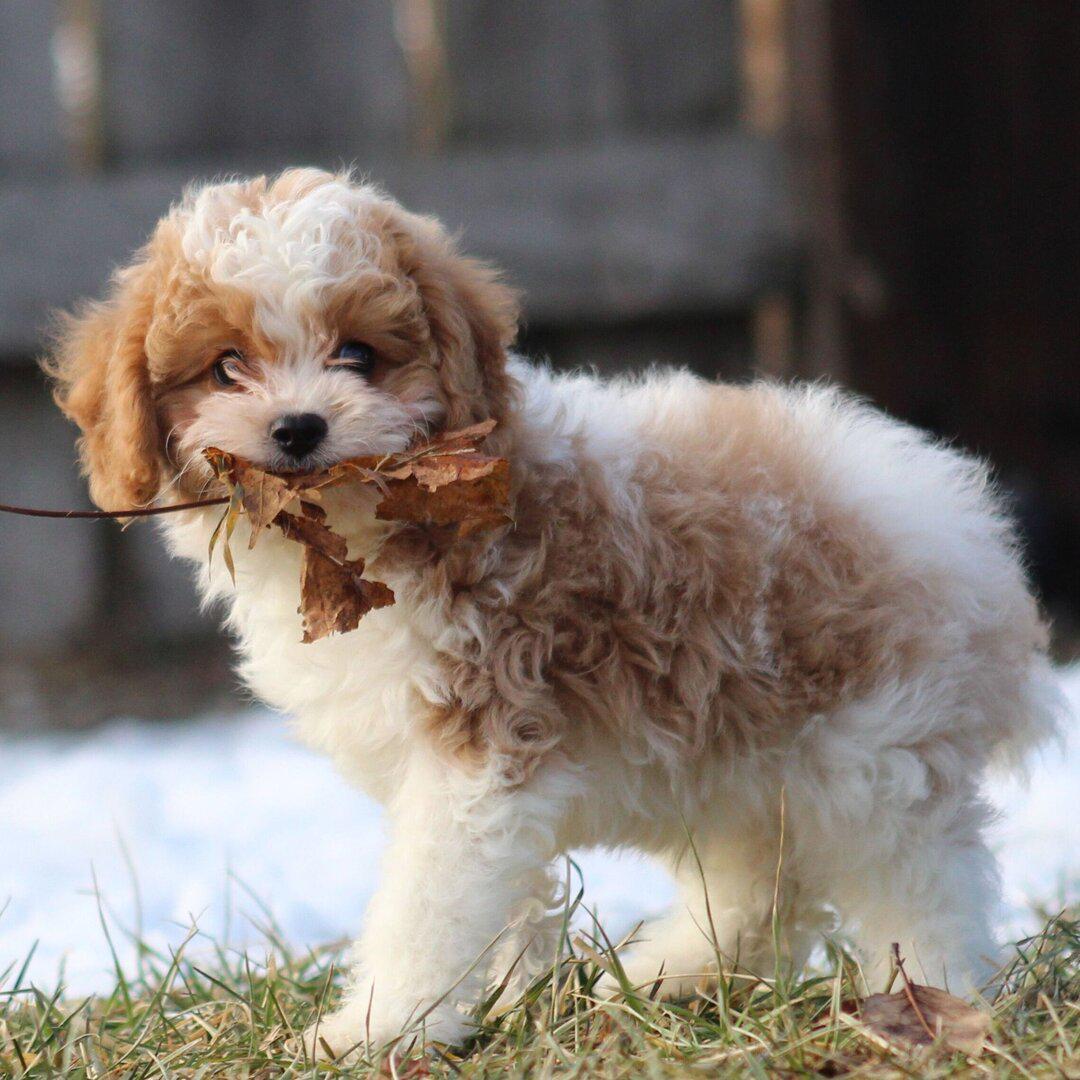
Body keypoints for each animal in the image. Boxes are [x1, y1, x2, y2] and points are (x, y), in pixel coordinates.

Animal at [47, 168, 1059, 1057]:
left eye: (357, 356)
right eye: (225, 368)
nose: (299, 428)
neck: (367, 536)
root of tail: (970, 532)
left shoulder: (477, 755)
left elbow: (425, 909)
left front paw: (373, 1030)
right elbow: (495, 909)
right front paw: (482, 1004)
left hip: (875, 757)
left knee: (923, 889)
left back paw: (935, 1005)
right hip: (739, 756)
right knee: (762, 888)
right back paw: (675, 975)